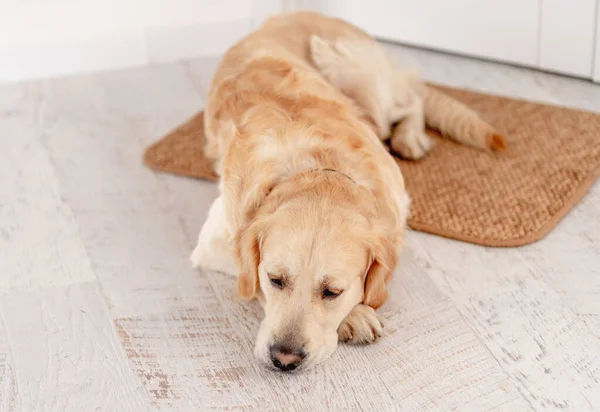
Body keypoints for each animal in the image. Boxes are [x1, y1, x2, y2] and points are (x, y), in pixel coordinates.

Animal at [190, 11, 504, 372]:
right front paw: (355, 317)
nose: (284, 359)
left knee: (411, 102)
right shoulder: (213, 242)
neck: (320, 169)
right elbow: (248, 277)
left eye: (332, 292)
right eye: (274, 279)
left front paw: (354, 312)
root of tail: (298, 12)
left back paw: (410, 138)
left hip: (356, 77)